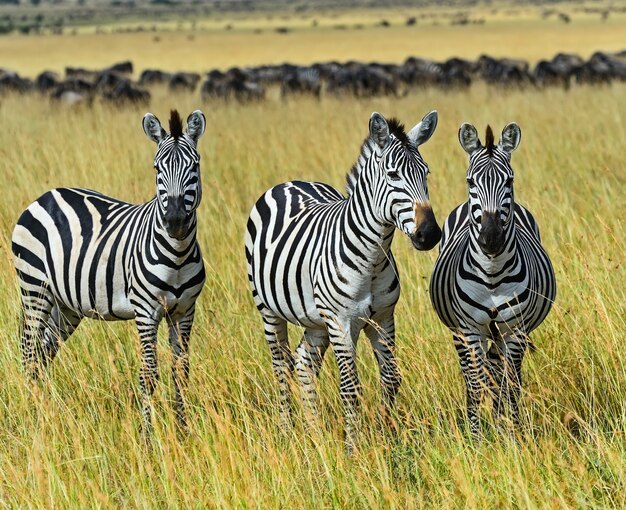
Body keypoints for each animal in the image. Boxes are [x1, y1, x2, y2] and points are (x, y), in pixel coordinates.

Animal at [12, 109, 206, 432]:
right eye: (157, 169)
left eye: (195, 166)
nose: (176, 221)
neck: (177, 254)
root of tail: (46, 195)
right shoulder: (146, 311)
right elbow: (148, 375)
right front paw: (148, 435)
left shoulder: (184, 311)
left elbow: (181, 372)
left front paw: (183, 430)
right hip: (34, 289)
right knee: (28, 352)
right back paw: (29, 414)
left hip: (66, 306)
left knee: (44, 352)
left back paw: (43, 413)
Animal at [244, 108, 438, 450]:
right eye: (393, 175)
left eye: (425, 173)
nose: (429, 234)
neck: (373, 259)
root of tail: (290, 182)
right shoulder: (341, 322)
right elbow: (351, 387)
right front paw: (353, 448)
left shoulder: (383, 318)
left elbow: (391, 377)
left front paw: (386, 436)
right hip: (269, 310)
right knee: (281, 365)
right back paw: (287, 431)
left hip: (315, 320)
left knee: (304, 363)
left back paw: (315, 434)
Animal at [428, 122, 556, 434]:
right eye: (470, 182)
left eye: (509, 181)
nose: (491, 238)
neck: (492, 274)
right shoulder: (470, 329)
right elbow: (476, 385)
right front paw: (475, 437)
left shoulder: (516, 329)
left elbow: (510, 385)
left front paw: (513, 433)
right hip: (461, 332)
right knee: (472, 375)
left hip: (500, 334)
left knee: (500, 375)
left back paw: (500, 421)